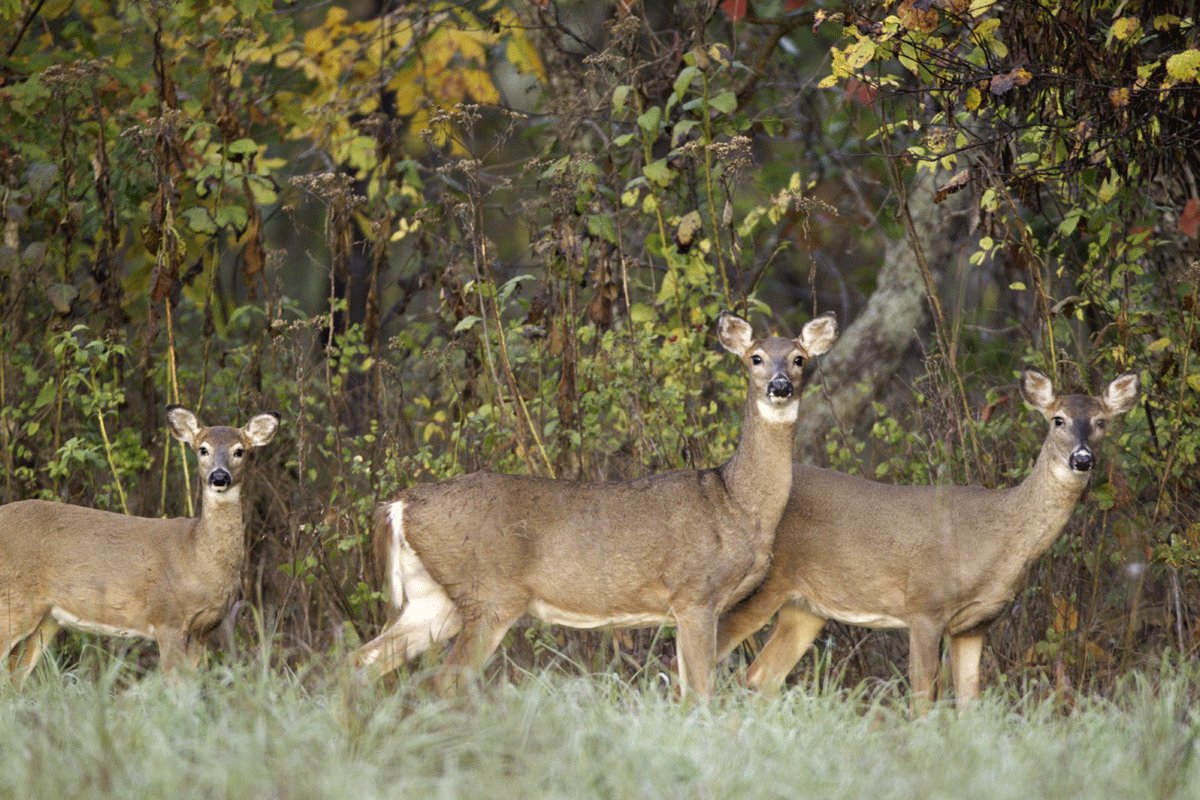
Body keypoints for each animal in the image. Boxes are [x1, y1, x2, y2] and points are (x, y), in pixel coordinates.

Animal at [0, 402, 278, 686]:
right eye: (203, 449)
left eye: (239, 451)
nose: (219, 476)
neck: (198, 556)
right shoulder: (168, 618)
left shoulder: (205, 628)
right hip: (11, 600)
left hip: (47, 618)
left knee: (15, 676)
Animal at [350, 309, 840, 695]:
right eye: (754, 357)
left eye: (799, 358)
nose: (779, 385)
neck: (736, 502)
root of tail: (398, 506)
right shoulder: (694, 594)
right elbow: (700, 693)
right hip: (490, 594)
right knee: (442, 680)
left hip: (434, 599)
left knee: (359, 661)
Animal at [715, 367, 1137, 710]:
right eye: (1057, 420)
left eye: (1101, 422)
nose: (1082, 459)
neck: (996, 538)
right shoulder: (924, 608)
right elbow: (922, 704)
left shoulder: (974, 626)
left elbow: (969, 706)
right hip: (756, 591)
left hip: (805, 608)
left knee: (758, 677)